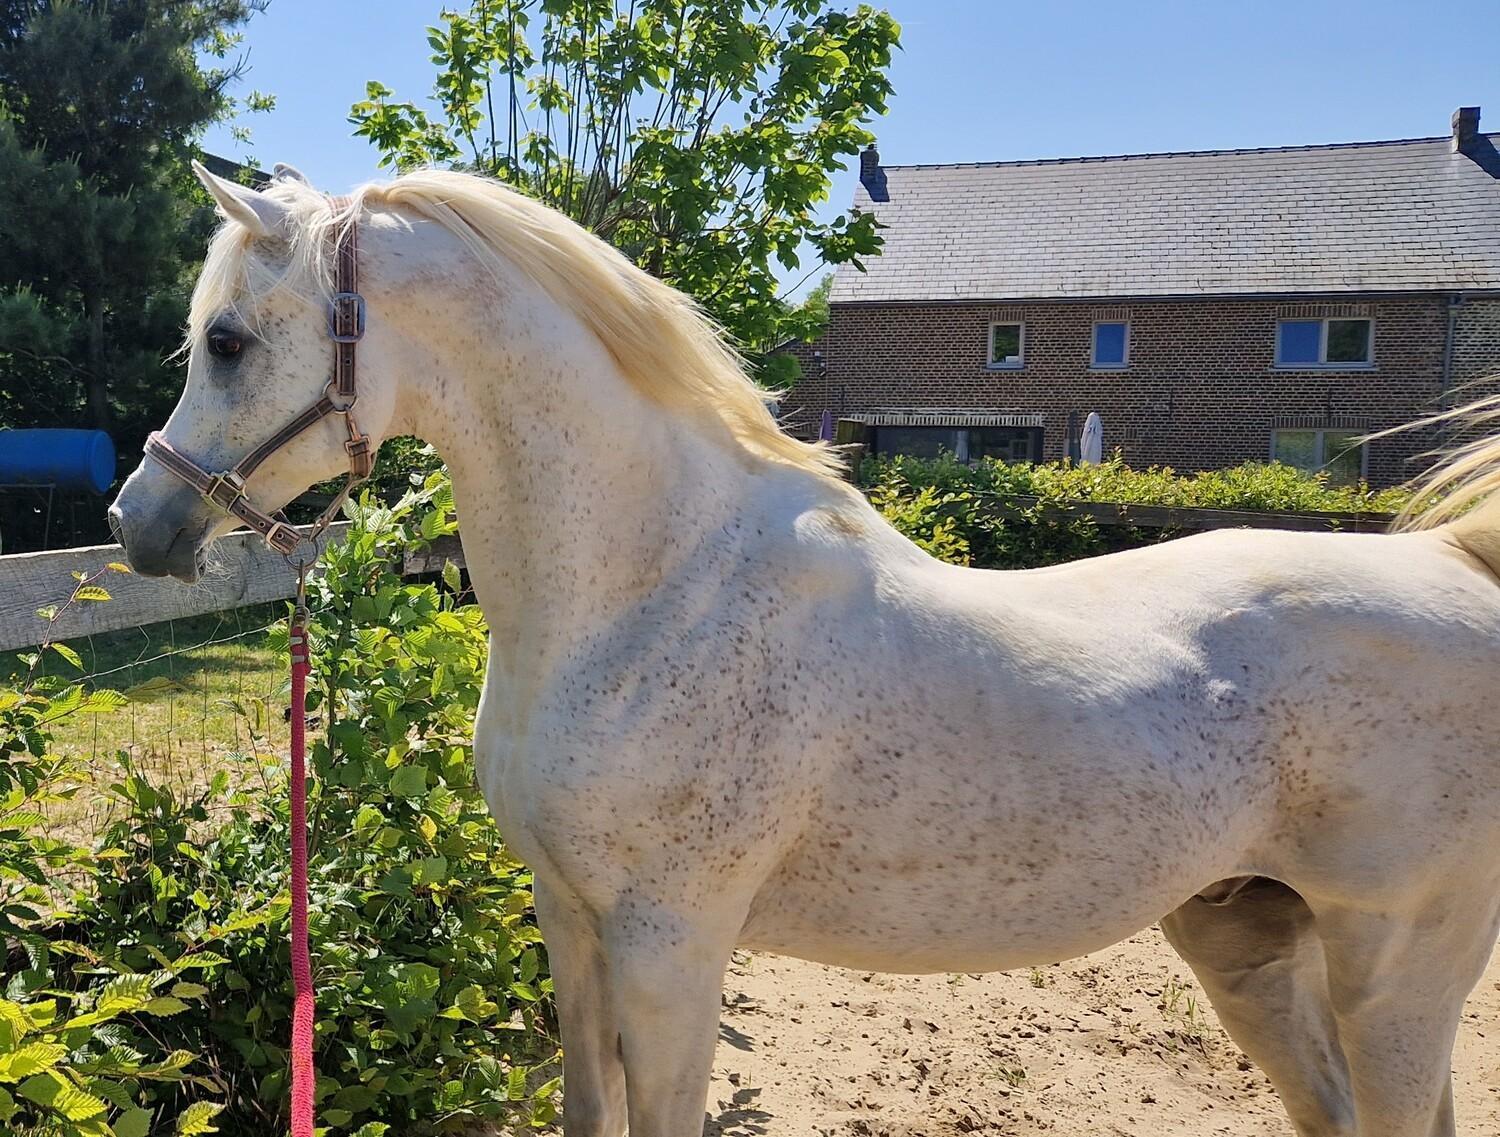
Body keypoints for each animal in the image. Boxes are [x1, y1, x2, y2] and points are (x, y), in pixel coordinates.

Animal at [111, 167, 1500, 1137]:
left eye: (228, 340)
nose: (141, 524)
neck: (649, 593)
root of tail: (1456, 568)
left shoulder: (670, 952)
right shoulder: (575, 932)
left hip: (1396, 971)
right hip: (1247, 942)